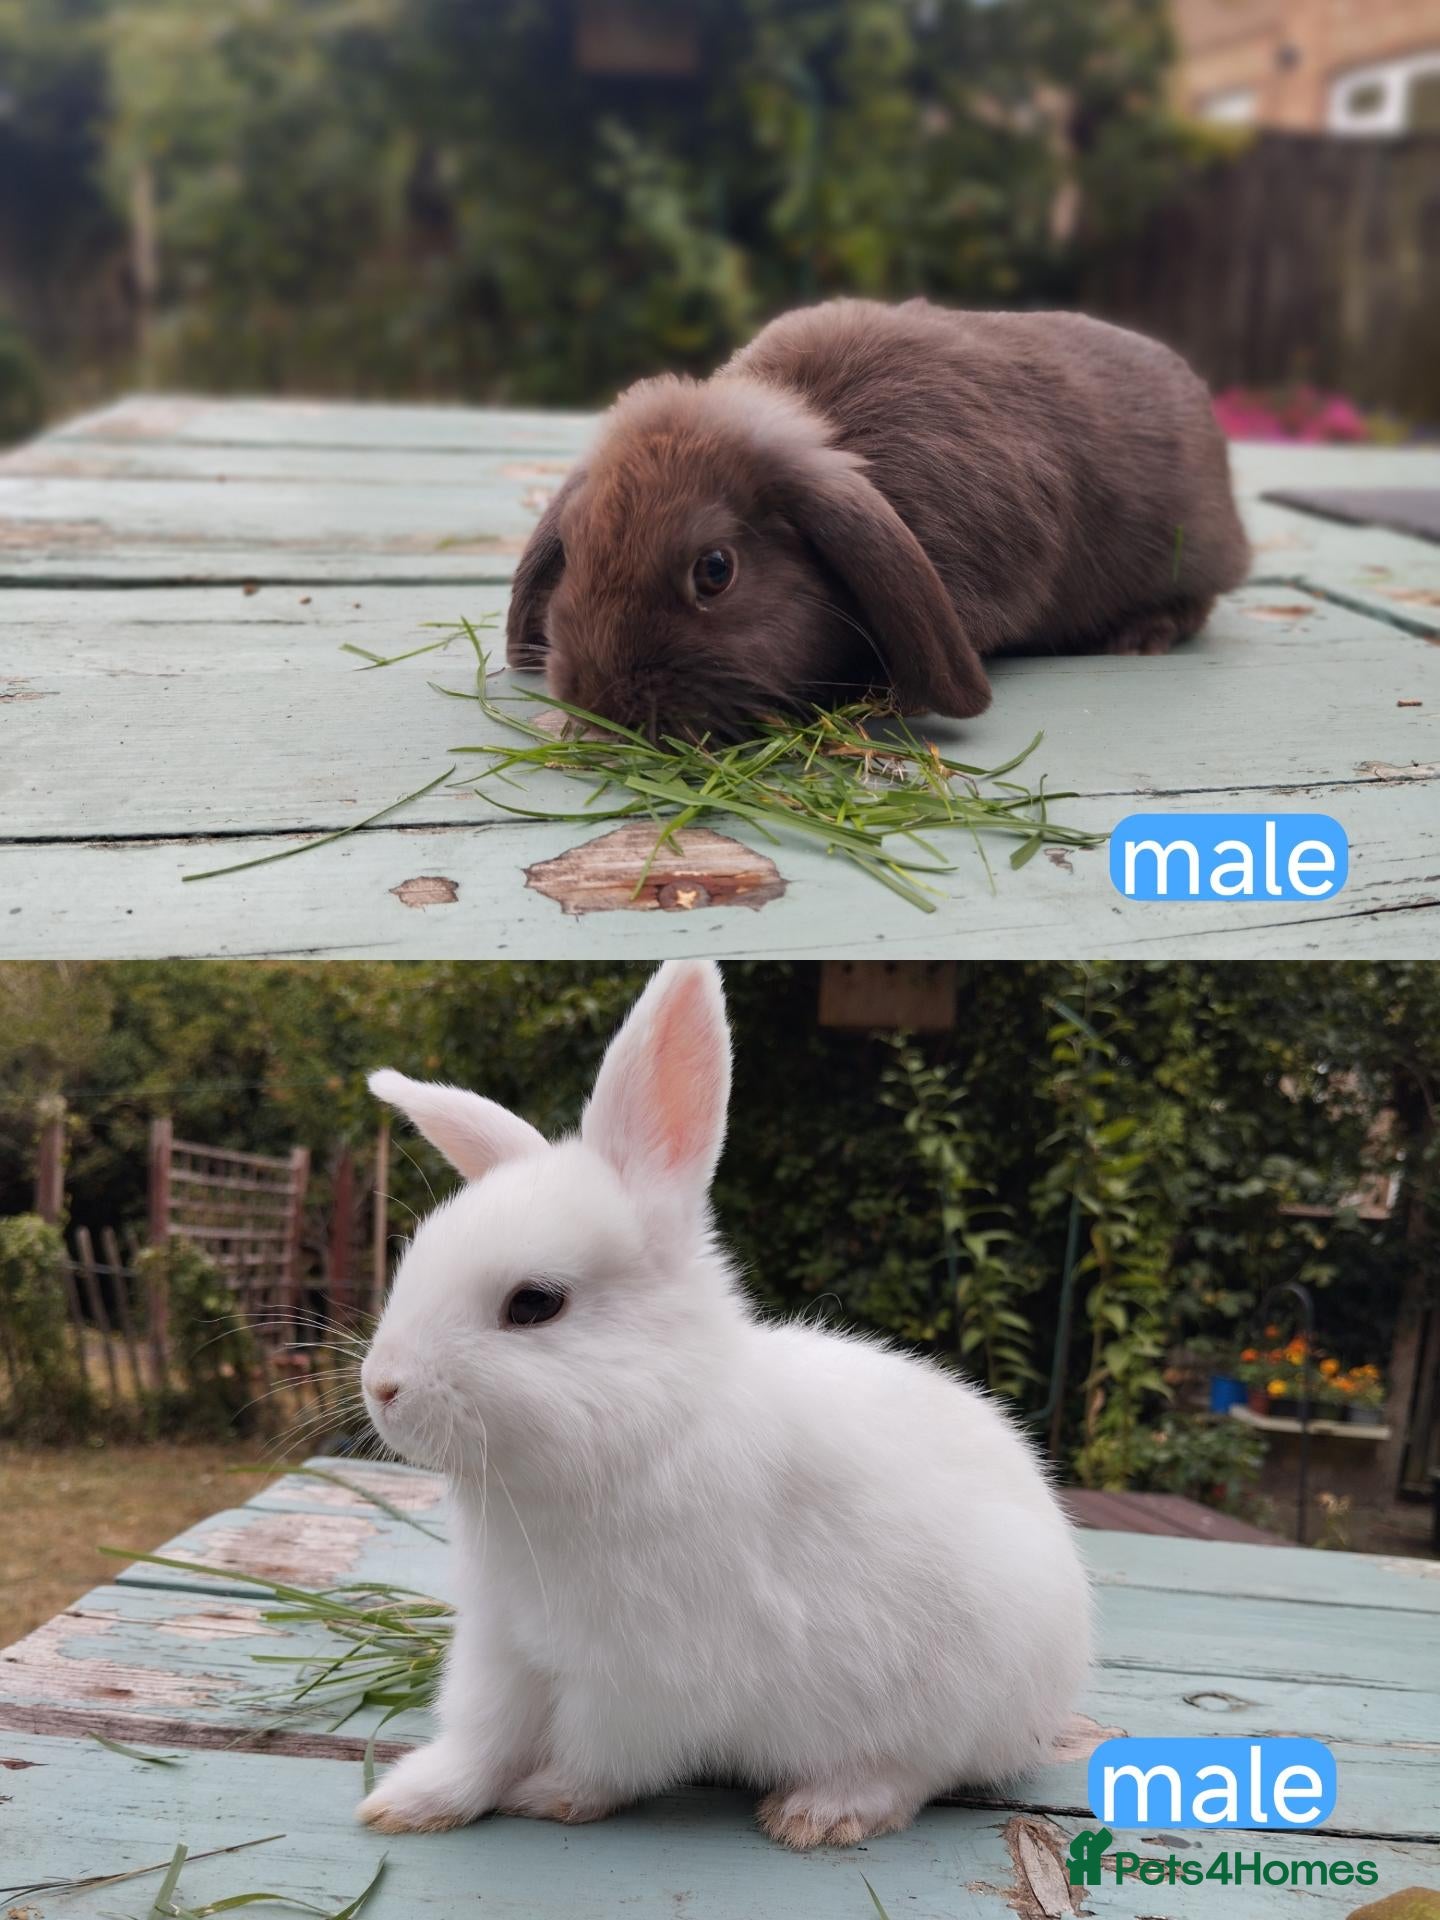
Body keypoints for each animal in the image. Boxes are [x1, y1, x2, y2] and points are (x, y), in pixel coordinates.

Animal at [356, 959, 1092, 1850]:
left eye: (534, 1304)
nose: (382, 1387)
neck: (650, 1425)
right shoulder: (503, 1645)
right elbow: (482, 1736)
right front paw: (410, 1802)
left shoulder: (644, 1676)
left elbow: (601, 1755)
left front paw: (552, 1795)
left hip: (952, 1695)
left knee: (914, 1774)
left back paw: (819, 1813)